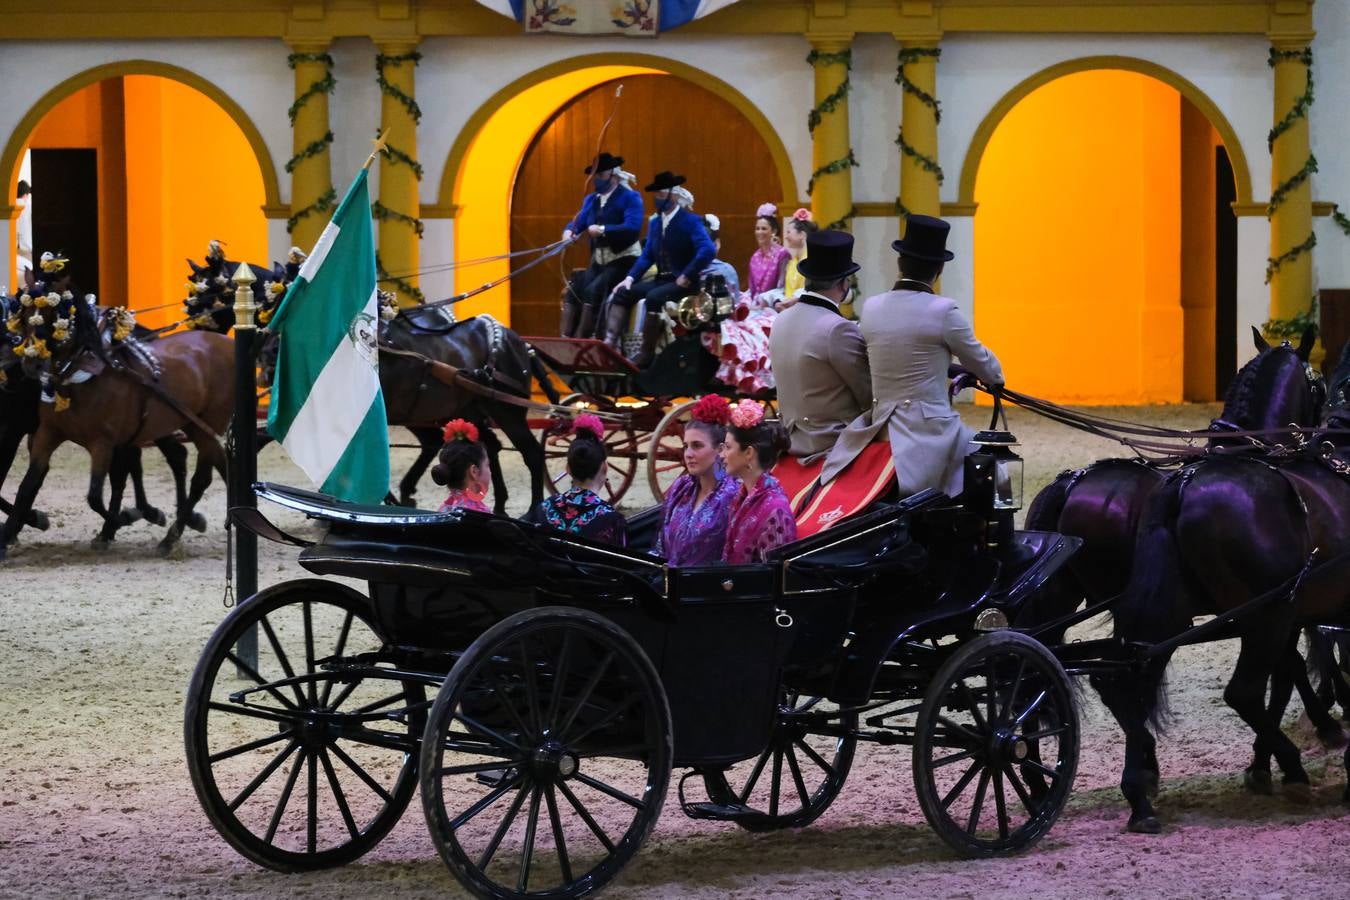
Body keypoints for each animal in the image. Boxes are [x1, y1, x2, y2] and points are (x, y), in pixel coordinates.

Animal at [0, 294, 233, 564]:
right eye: (24, 319)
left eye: (52, 319)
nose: (31, 363)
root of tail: (226, 344)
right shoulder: (45, 434)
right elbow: (26, 487)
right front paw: (10, 535)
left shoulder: (101, 442)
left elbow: (95, 494)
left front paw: (122, 519)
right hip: (190, 424)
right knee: (206, 463)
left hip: (203, 425)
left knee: (199, 474)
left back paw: (170, 534)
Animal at [1090, 341, 1350, 836]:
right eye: (1317, 384)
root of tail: (1182, 486)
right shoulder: (1287, 614)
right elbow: (1293, 675)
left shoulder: (1292, 615)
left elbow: (1290, 674)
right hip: (1264, 614)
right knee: (1241, 691)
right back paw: (1293, 765)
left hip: (1174, 616)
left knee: (1128, 676)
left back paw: (1140, 793)